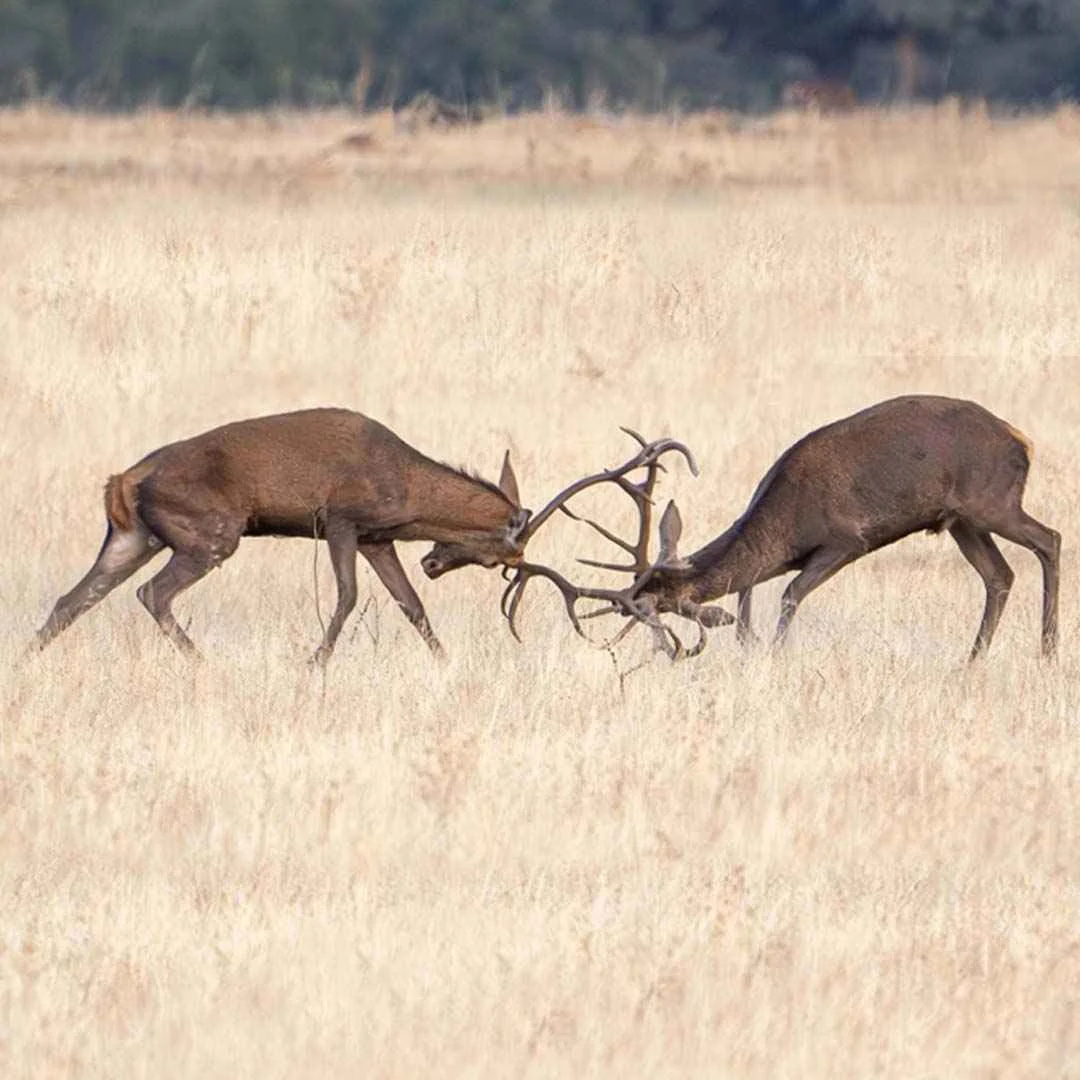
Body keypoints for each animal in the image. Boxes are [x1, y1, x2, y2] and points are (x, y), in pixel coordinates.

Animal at [34, 407, 693, 664]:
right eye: (499, 557)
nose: (435, 561)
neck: (405, 490)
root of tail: (122, 481)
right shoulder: (343, 520)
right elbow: (349, 596)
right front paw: (314, 663)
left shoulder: (380, 538)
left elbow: (411, 604)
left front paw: (443, 662)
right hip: (209, 532)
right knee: (152, 594)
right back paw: (203, 665)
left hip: (132, 537)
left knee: (71, 600)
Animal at [501, 396, 1060, 662]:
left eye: (665, 607)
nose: (665, 645)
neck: (785, 525)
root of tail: (1024, 439)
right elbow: (748, 599)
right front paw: (752, 647)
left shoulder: (846, 538)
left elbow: (790, 594)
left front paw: (775, 656)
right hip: (962, 520)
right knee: (999, 575)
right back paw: (973, 660)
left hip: (991, 501)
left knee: (1049, 540)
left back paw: (1048, 649)